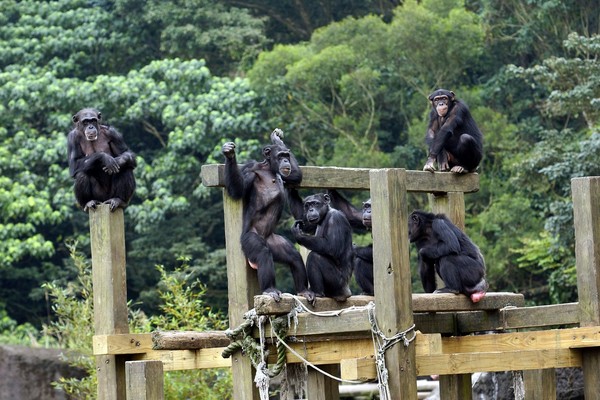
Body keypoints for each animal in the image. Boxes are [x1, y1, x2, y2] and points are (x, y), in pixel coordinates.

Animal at [220, 130, 314, 304]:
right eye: (280, 156)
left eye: (286, 155)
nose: (286, 160)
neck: (269, 169)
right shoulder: (250, 169)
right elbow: (238, 189)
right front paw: (229, 154)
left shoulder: (287, 175)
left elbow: (296, 175)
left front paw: (277, 138)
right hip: (249, 240)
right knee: (263, 252)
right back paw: (270, 289)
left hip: (274, 243)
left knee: (293, 256)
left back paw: (303, 290)